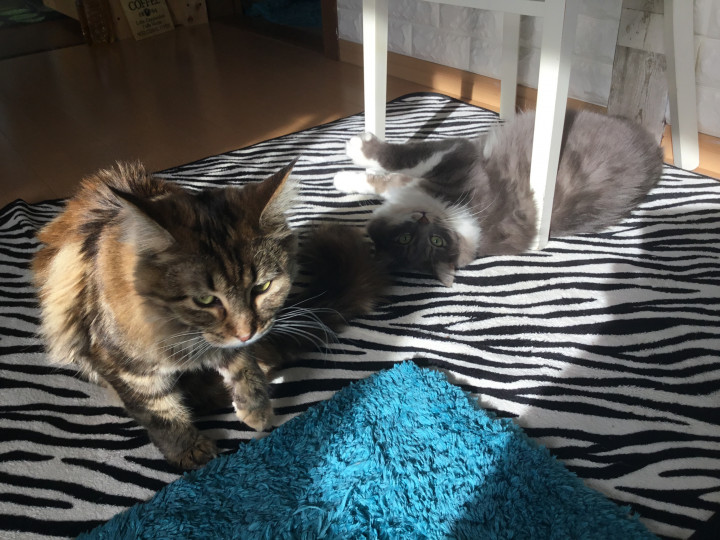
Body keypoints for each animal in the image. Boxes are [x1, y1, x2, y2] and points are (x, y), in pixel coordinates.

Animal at [32, 161, 387, 469]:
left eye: (263, 287)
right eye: (204, 299)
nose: (247, 331)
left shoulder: (235, 343)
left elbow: (242, 364)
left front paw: (255, 408)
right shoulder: (123, 364)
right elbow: (160, 412)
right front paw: (189, 451)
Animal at [334, 109, 663, 286]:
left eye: (436, 241)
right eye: (404, 239)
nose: (425, 219)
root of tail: (654, 154)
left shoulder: (456, 159)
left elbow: (400, 158)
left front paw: (355, 150)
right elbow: (384, 181)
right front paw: (346, 179)